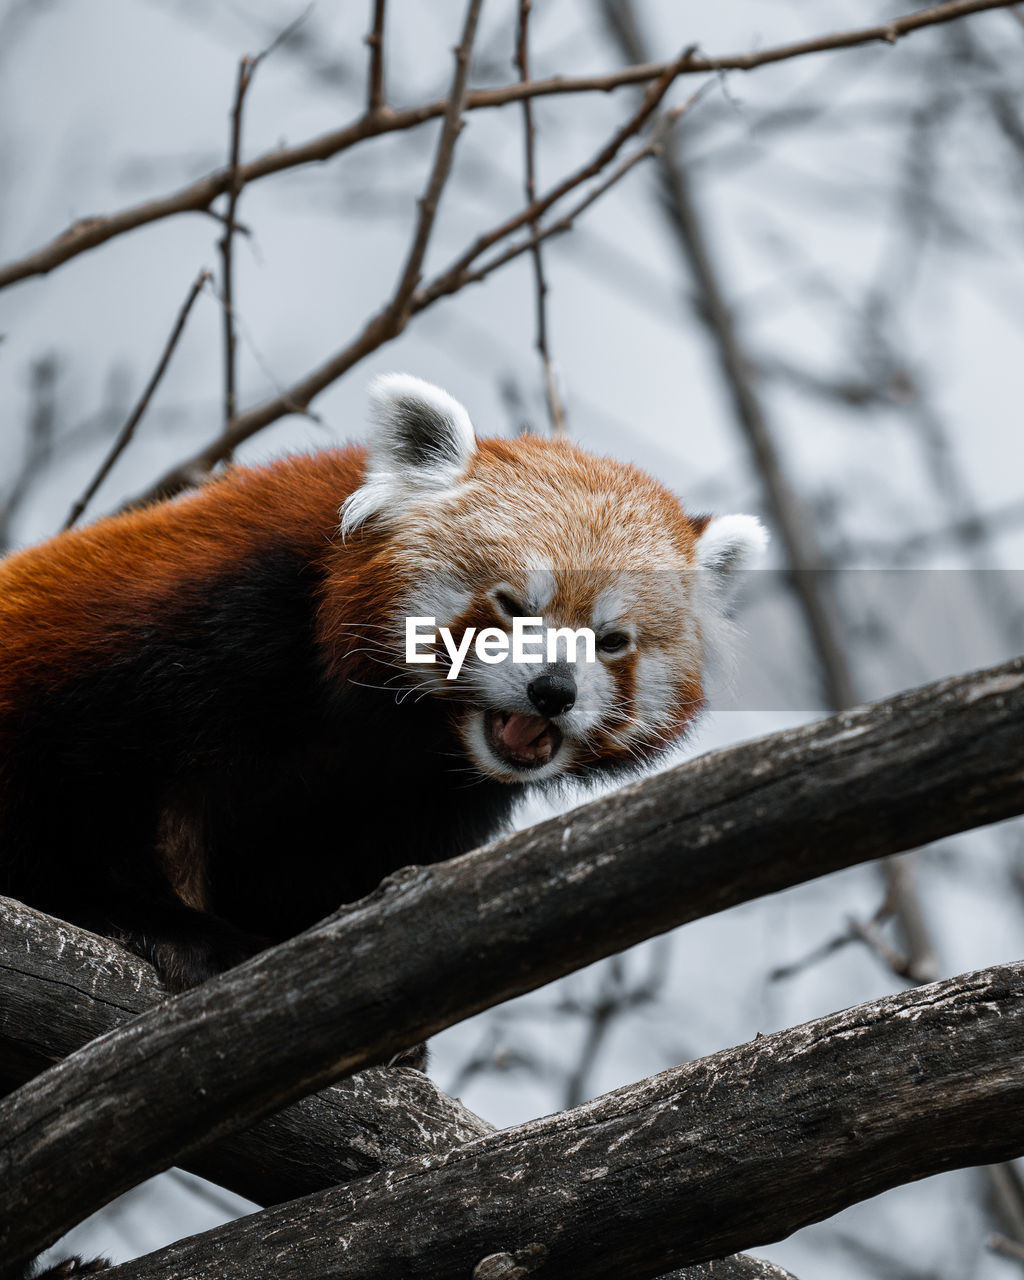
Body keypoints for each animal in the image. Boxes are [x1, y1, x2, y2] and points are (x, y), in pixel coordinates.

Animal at [0, 371, 768, 988]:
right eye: (513, 605)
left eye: (610, 642)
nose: (554, 692)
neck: (385, 726)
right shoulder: (199, 626)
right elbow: (98, 786)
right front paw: (169, 927)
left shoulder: (419, 799)